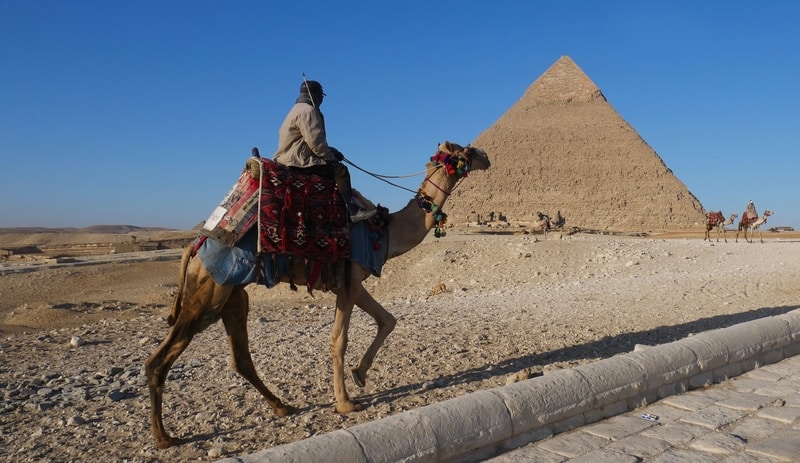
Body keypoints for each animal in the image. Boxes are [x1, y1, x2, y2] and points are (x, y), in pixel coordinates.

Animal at [146, 141, 490, 450]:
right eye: (464, 152)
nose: (485, 156)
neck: (384, 230)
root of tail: (195, 245)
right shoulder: (350, 279)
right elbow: (339, 340)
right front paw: (346, 403)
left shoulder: (353, 281)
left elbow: (388, 319)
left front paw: (359, 374)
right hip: (208, 292)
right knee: (160, 359)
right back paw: (164, 438)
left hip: (232, 296)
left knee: (241, 356)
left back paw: (283, 406)